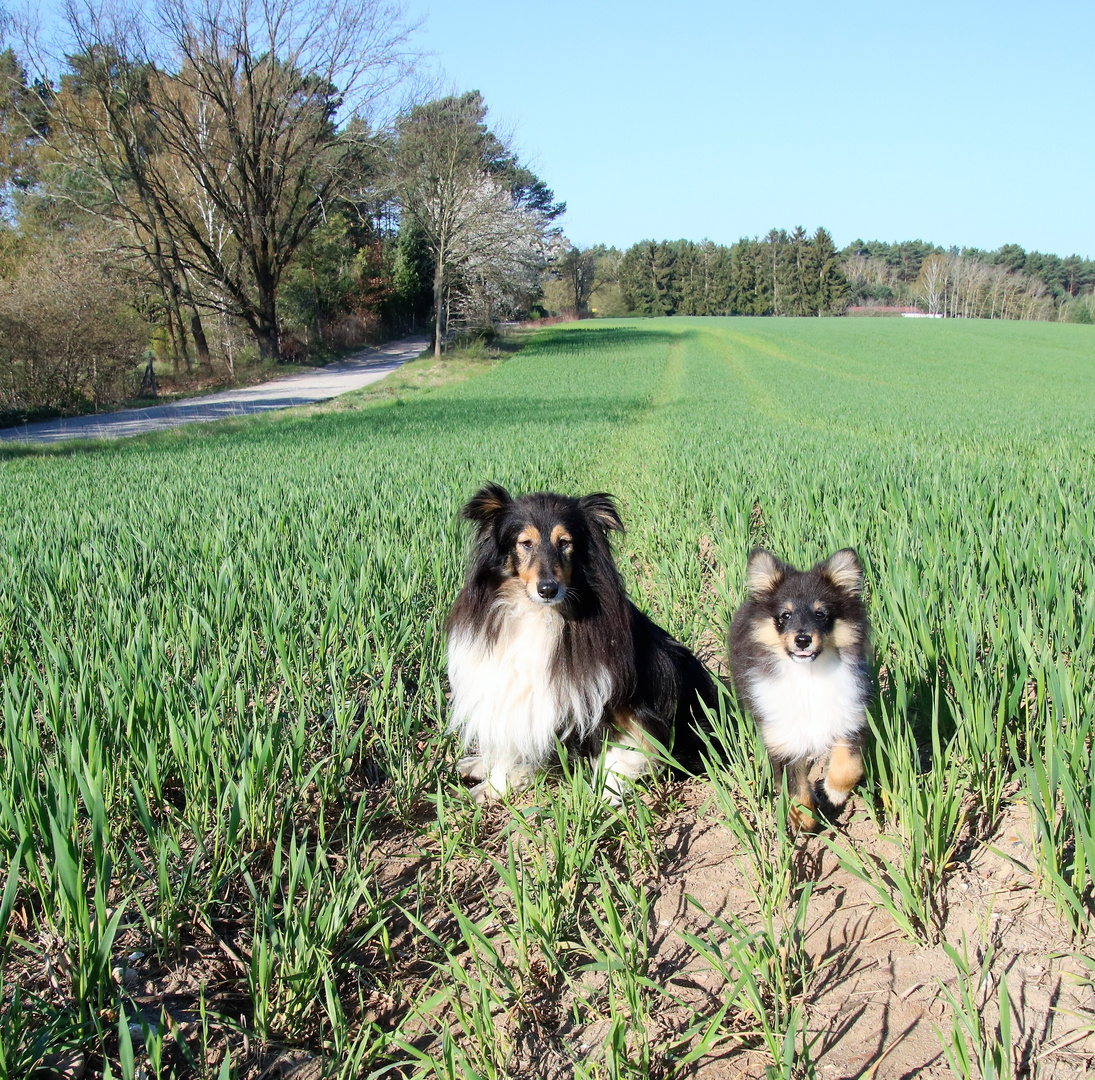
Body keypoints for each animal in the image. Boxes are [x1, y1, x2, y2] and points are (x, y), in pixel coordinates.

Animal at [444, 481, 718, 801]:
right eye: (525, 543)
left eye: (565, 542)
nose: (548, 589)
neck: (540, 614)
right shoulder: (509, 688)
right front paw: (495, 785)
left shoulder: (610, 696)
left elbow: (617, 752)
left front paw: (605, 799)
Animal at [727, 543, 871, 828]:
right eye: (785, 615)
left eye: (821, 614)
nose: (803, 639)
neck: (809, 677)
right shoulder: (783, 737)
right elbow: (794, 786)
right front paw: (804, 821)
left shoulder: (850, 716)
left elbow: (850, 766)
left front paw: (834, 793)